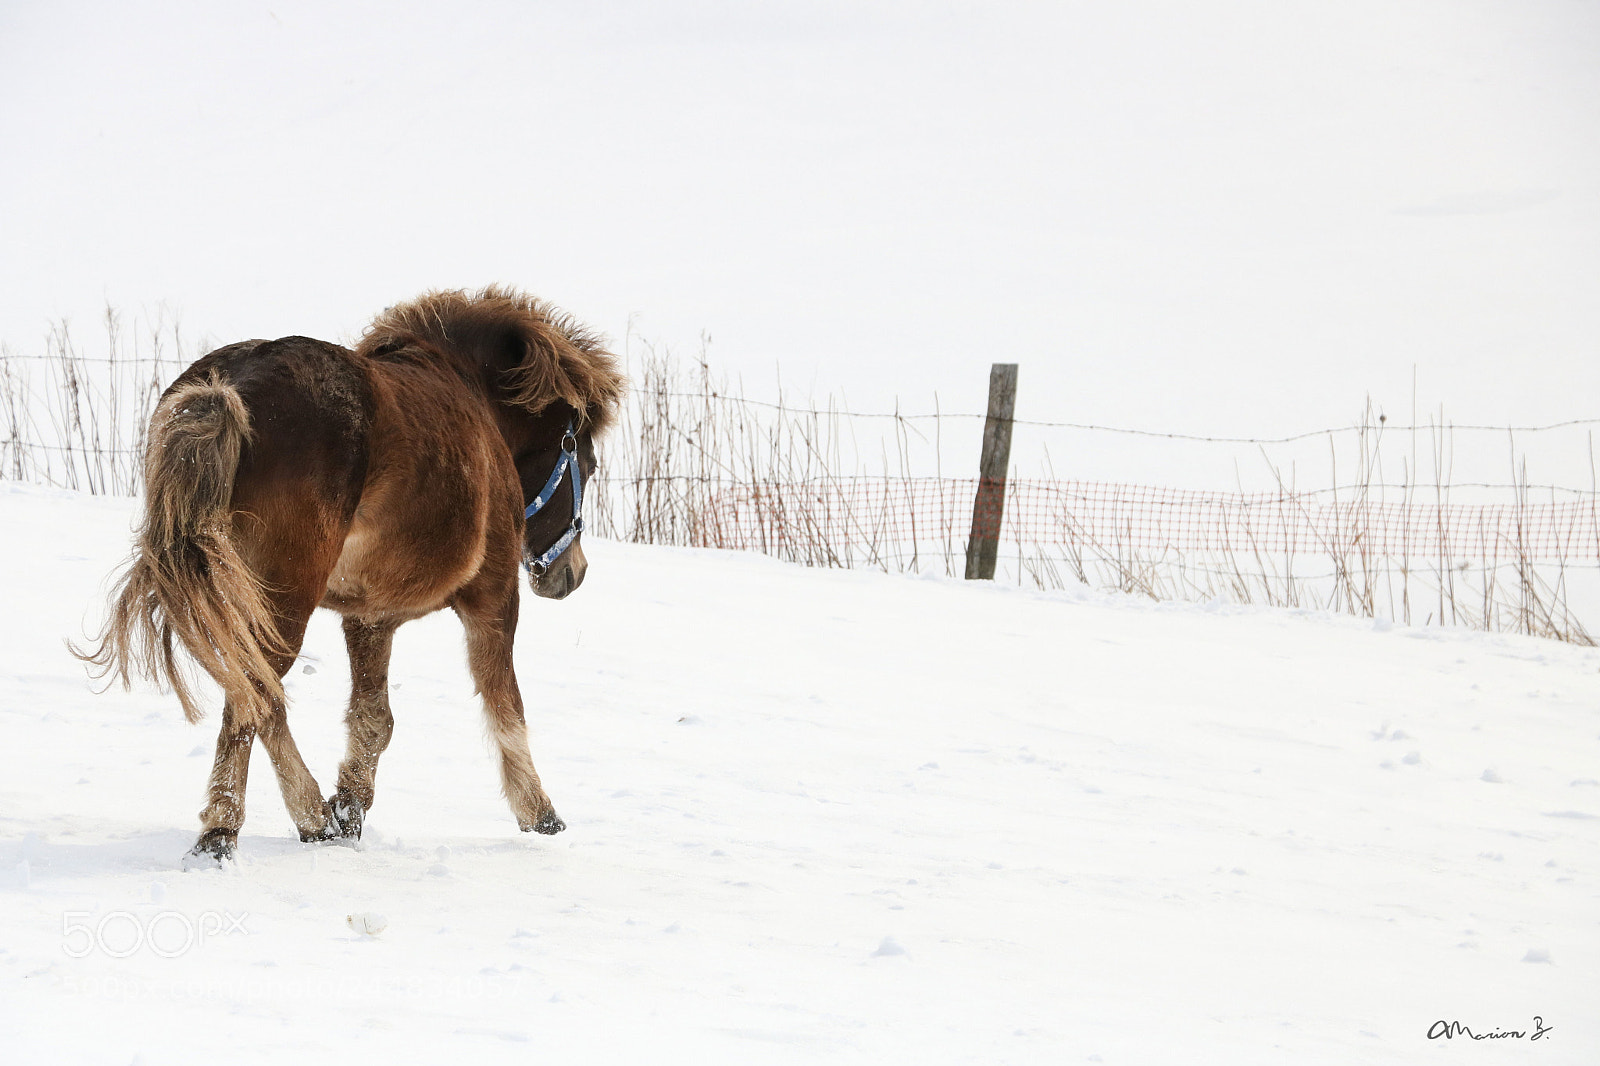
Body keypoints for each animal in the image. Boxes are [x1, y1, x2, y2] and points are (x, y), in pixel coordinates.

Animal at [75, 287, 625, 864]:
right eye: (585, 460)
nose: (572, 573)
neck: (476, 399)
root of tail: (227, 391)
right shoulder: (492, 597)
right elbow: (506, 707)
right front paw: (540, 814)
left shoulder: (370, 619)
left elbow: (372, 719)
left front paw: (350, 805)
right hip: (279, 600)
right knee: (253, 696)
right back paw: (229, 831)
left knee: (259, 695)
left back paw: (312, 818)